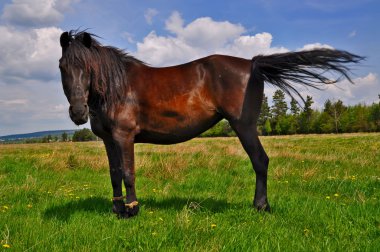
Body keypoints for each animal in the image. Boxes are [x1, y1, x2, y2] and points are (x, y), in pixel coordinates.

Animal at [58, 30, 362, 218]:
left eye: (87, 67)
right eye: (62, 66)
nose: (78, 112)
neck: (117, 88)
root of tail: (253, 64)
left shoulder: (124, 136)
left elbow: (128, 173)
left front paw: (132, 210)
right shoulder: (109, 140)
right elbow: (114, 174)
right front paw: (118, 211)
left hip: (244, 126)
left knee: (260, 161)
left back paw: (261, 206)